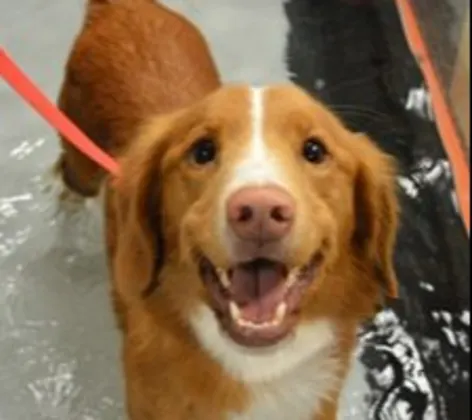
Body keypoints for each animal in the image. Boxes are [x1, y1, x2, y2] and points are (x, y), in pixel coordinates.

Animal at [53, 0, 398, 420]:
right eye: (202, 151)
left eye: (315, 150)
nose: (261, 211)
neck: (256, 367)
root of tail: (124, 6)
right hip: (80, 156)